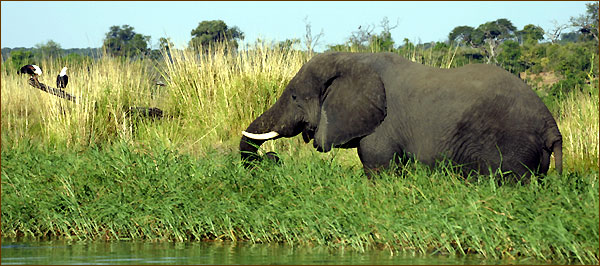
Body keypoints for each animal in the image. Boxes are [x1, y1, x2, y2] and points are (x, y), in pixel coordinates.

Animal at [239, 51, 564, 181]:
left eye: (294, 97)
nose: (271, 160)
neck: (353, 58)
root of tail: (552, 127)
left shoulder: (382, 128)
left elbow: (376, 163)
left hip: (513, 147)